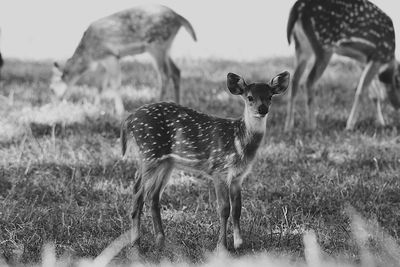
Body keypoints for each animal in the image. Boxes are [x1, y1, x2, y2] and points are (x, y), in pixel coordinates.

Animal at [50, 3, 198, 115]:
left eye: (51, 89)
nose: (55, 103)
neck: (89, 57)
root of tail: (178, 18)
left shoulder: (110, 56)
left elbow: (115, 84)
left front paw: (120, 111)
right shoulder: (102, 62)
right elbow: (100, 85)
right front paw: (95, 107)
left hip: (157, 44)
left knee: (164, 74)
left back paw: (157, 103)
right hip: (166, 47)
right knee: (176, 71)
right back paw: (178, 104)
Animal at [119, 70, 290, 249]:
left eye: (270, 96)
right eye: (249, 97)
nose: (262, 109)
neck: (239, 140)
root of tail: (129, 119)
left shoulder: (238, 177)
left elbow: (237, 209)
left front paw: (239, 243)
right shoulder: (220, 170)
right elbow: (224, 209)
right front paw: (222, 246)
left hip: (165, 163)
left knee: (153, 195)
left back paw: (160, 241)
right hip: (149, 153)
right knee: (138, 192)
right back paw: (136, 243)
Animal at [284, 0, 400, 132]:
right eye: (398, 83)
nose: (398, 106)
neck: (390, 56)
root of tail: (297, 8)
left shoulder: (363, 60)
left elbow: (374, 94)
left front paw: (381, 123)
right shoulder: (378, 56)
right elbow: (360, 90)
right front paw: (350, 125)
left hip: (301, 46)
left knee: (295, 79)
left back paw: (288, 127)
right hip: (324, 45)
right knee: (308, 81)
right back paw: (312, 126)